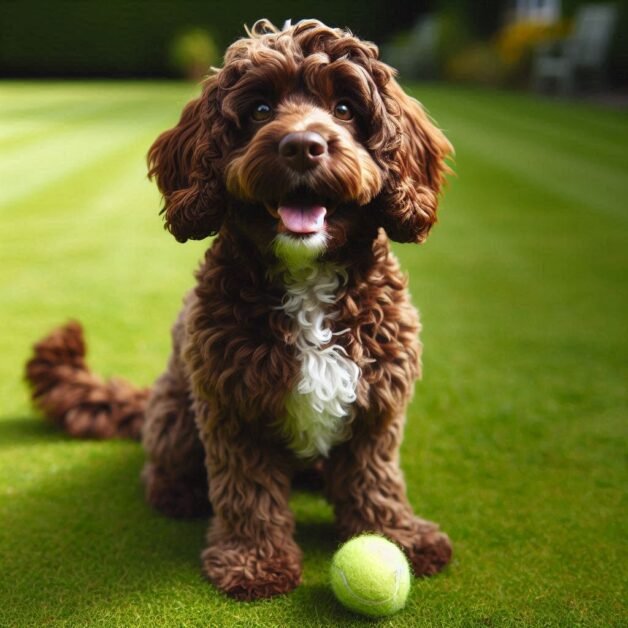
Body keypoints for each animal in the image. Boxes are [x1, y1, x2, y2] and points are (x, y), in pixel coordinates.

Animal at [27, 18, 454, 600]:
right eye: (259, 109)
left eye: (345, 107)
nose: (303, 146)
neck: (306, 279)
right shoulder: (234, 408)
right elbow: (248, 493)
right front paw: (254, 562)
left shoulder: (376, 404)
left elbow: (375, 478)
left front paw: (398, 536)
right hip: (177, 415)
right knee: (160, 468)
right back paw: (176, 494)